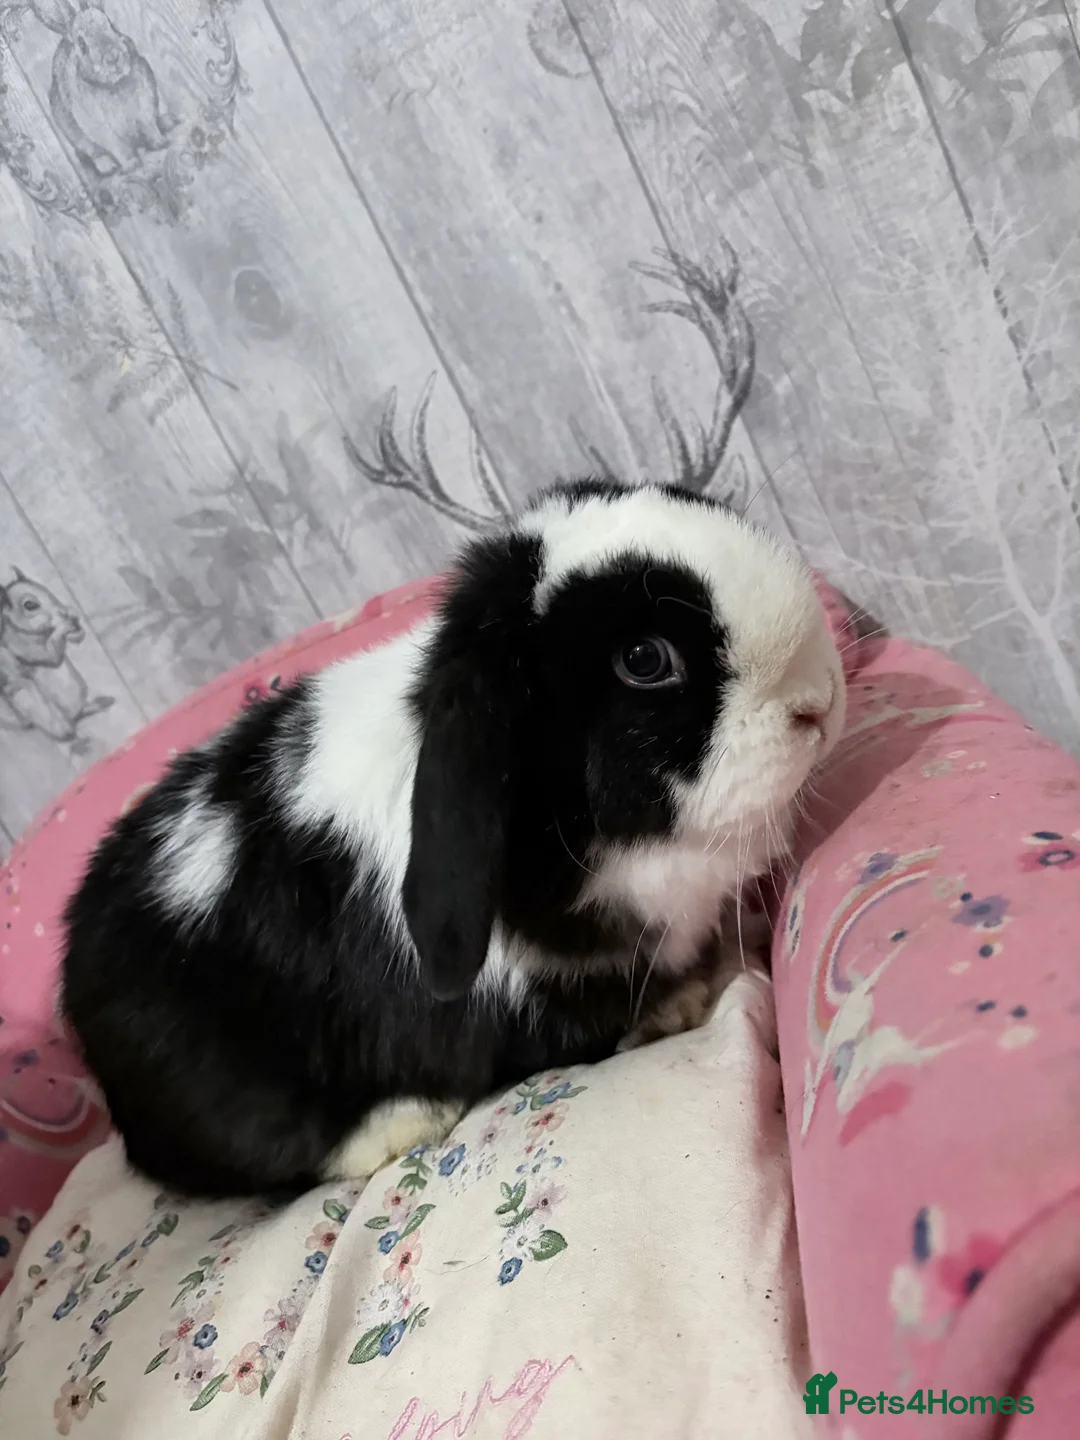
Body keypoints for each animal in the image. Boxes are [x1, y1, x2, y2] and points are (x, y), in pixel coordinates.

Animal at [36, 0, 176, 177]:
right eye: (82, 45)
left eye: (112, 25)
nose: (112, 58)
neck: (114, 84)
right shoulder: (103, 130)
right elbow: (119, 148)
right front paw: (131, 165)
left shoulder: (146, 104)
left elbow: (149, 126)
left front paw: (160, 143)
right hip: (75, 135)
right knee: (92, 152)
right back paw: (107, 166)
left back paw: (167, 121)